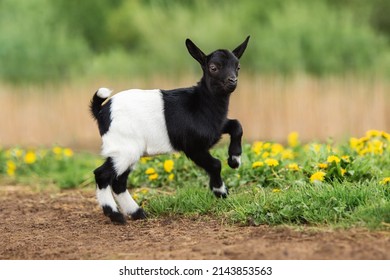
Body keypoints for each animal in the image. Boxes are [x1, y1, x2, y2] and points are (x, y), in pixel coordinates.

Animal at [90, 36, 250, 223]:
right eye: (213, 67)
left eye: (238, 67)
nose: (232, 81)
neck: (201, 103)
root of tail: (101, 111)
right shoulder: (193, 146)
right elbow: (215, 164)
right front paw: (220, 191)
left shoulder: (217, 127)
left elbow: (236, 126)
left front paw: (234, 160)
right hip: (124, 149)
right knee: (102, 175)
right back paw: (115, 215)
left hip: (127, 152)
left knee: (118, 182)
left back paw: (137, 213)